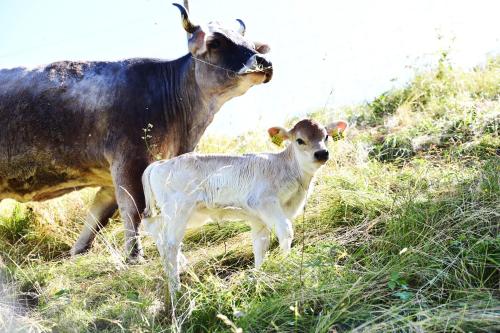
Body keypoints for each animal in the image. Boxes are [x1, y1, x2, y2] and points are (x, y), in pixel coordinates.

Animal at [0, 3, 274, 260]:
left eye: (252, 45)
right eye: (216, 42)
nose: (264, 62)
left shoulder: (111, 175)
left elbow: (99, 216)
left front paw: (79, 250)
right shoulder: (131, 159)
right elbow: (133, 209)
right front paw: (134, 255)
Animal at [139, 118, 346, 288]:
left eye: (326, 136)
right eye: (300, 140)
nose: (321, 153)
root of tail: (159, 164)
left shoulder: (258, 220)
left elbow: (260, 246)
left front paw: (260, 276)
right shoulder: (265, 203)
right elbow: (286, 232)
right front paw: (287, 264)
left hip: (183, 214)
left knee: (154, 228)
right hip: (178, 210)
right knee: (170, 245)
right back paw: (176, 289)